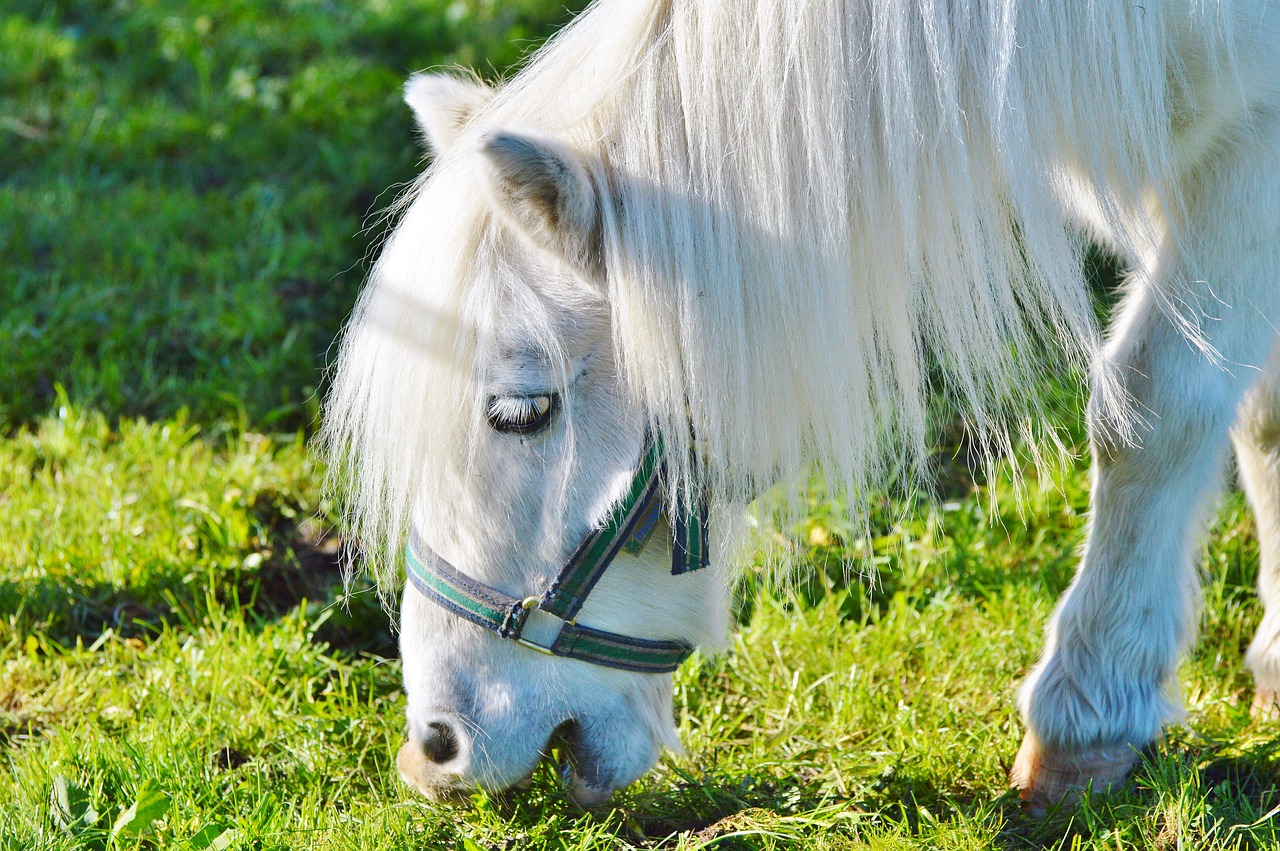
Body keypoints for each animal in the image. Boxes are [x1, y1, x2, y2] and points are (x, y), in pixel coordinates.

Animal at [325, 0, 1280, 808]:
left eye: (522, 411)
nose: (435, 747)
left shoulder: (1243, 144)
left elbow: (1152, 408)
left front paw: (1088, 713)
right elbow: (1256, 409)